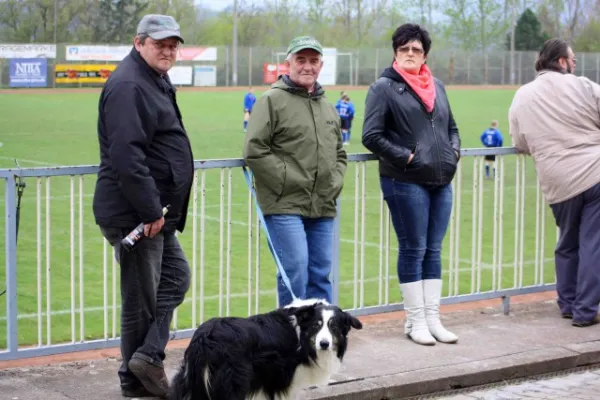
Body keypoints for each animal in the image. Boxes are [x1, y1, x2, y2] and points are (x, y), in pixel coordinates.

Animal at [170, 298, 366, 398]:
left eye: (334, 327)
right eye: (316, 326)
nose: (324, 344)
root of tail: (206, 337)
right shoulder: (282, 377)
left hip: (188, 380)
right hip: (233, 382)